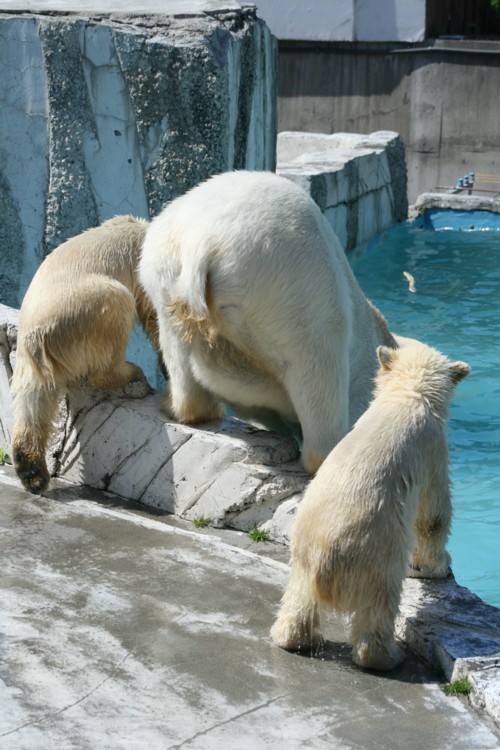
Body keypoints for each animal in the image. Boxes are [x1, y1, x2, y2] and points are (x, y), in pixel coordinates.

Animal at [140, 173, 398, 472]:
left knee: (179, 351)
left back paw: (175, 403)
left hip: (164, 266)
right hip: (292, 284)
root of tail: (202, 243)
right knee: (317, 363)